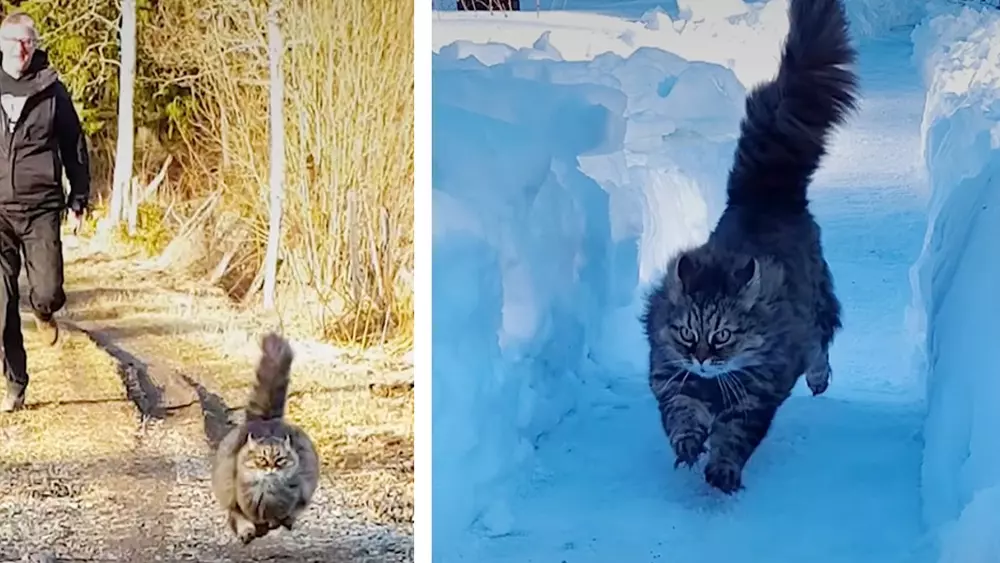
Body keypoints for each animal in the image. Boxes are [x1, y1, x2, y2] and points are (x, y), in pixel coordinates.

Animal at [211, 332, 320, 544]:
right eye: (261, 459)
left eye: (280, 460)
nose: (270, 467)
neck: (266, 496)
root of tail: (266, 418)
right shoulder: (235, 495)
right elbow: (240, 517)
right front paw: (247, 530)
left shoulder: (297, 491)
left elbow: (285, 512)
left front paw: (277, 522)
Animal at [640, 0, 860, 494]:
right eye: (688, 335)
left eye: (723, 336)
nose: (703, 359)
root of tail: (767, 192)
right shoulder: (673, 378)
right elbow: (681, 418)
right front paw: (689, 446)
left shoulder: (754, 396)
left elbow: (734, 439)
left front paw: (721, 472)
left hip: (817, 306)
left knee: (821, 342)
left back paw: (819, 380)